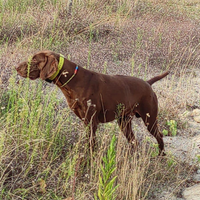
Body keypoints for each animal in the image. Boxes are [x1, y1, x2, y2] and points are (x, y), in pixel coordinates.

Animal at [16, 50, 169, 155]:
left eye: (34, 60)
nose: (16, 67)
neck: (73, 80)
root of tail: (147, 83)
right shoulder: (85, 121)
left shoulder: (91, 122)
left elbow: (90, 145)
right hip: (124, 122)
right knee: (134, 142)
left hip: (150, 119)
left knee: (159, 136)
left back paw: (160, 156)